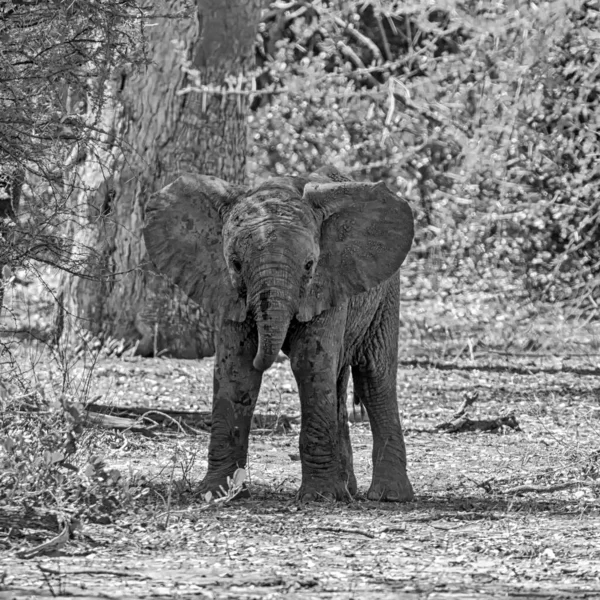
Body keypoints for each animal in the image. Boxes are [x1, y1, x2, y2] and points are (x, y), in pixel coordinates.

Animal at [143, 165, 414, 502]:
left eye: (310, 265)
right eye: (235, 264)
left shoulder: (327, 283)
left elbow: (309, 362)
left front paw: (319, 497)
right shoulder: (227, 289)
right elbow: (236, 368)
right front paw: (216, 494)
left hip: (387, 290)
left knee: (374, 376)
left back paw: (388, 496)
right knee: (339, 383)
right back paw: (348, 490)